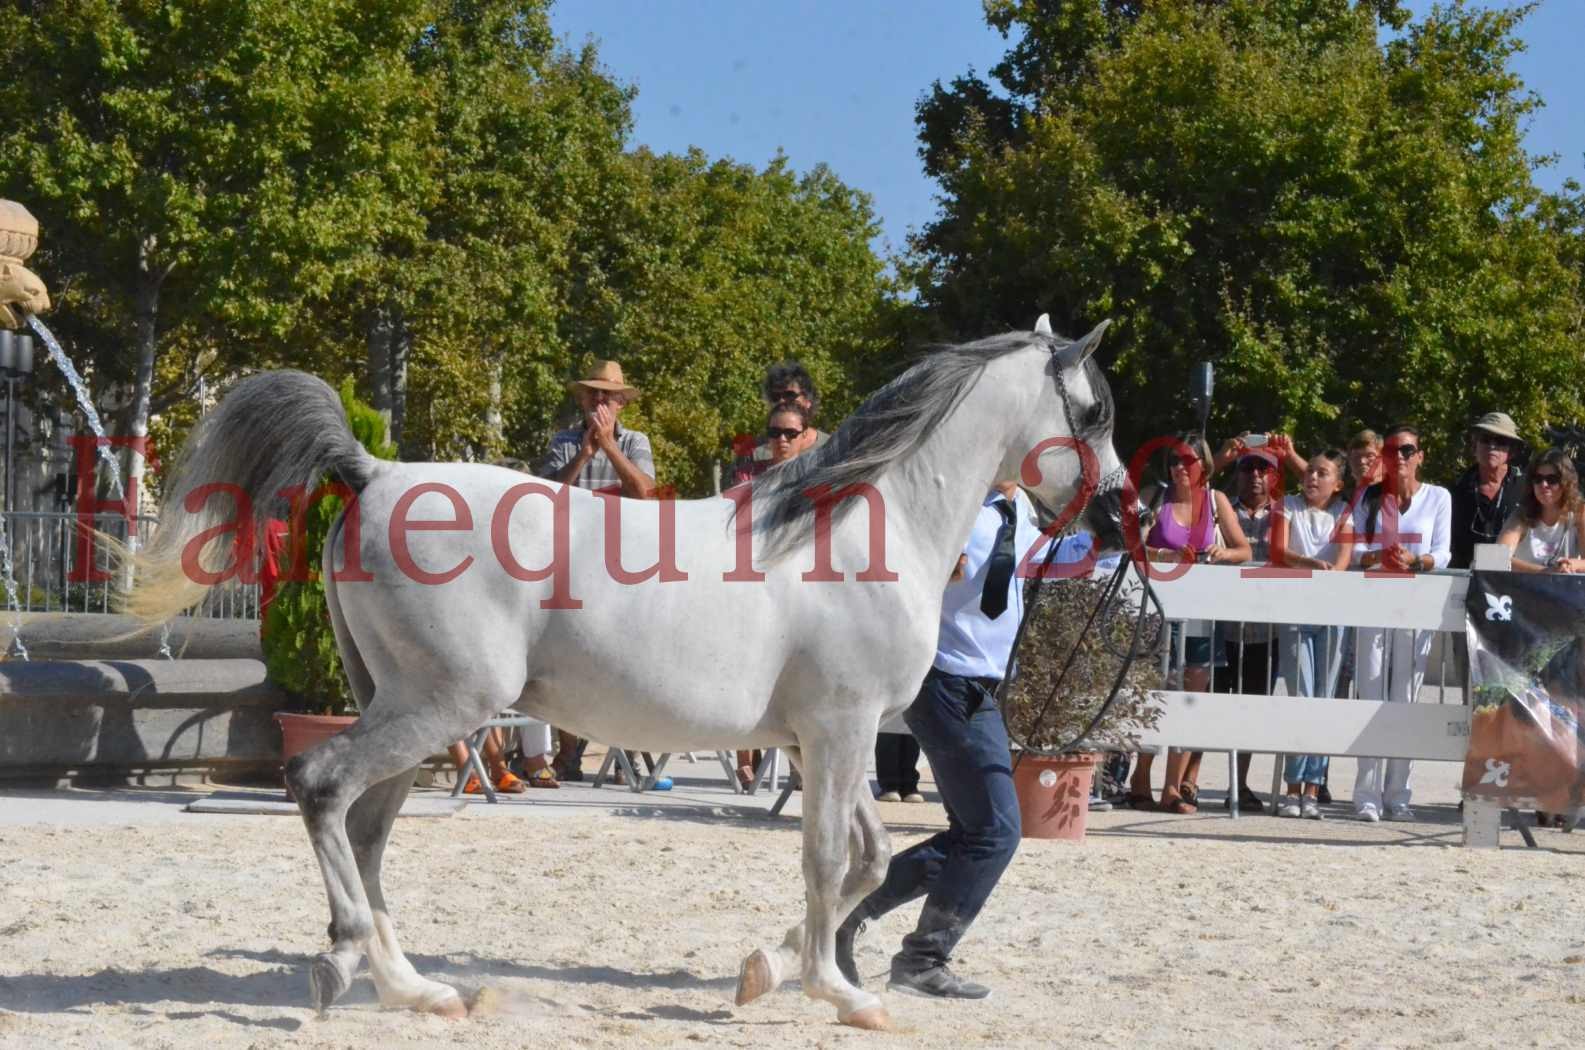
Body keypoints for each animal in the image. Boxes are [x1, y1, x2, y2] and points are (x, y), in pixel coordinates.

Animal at [129, 317, 1134, 1034]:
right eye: (1093, 413)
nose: (1117, 516)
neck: (861, 530)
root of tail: (375, 473)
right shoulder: (841, 729)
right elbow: (826, 859)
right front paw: (840, 994)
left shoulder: (824, 741)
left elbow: (871, 859)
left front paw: (766, 972)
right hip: (438, 706)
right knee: (319, 784)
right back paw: (343, 962)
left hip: (405, 708)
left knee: (367, 831)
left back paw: (414, 990)